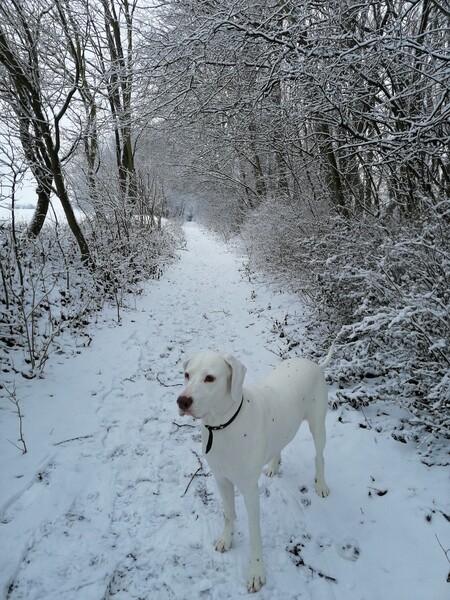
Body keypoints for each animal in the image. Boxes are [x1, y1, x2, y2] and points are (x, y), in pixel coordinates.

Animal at [178, 350, 332, 592]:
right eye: (186, 375)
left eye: (210, 378)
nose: (182, 401)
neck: (223, 425)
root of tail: (314, 364)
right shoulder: (221, 479)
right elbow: (228, 514)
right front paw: (226, 539)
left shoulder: (250, 491)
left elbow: (254, 532)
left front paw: (256, 572)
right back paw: (273, 466)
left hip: (318, 425)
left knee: (320, 456)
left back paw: (321, 485)